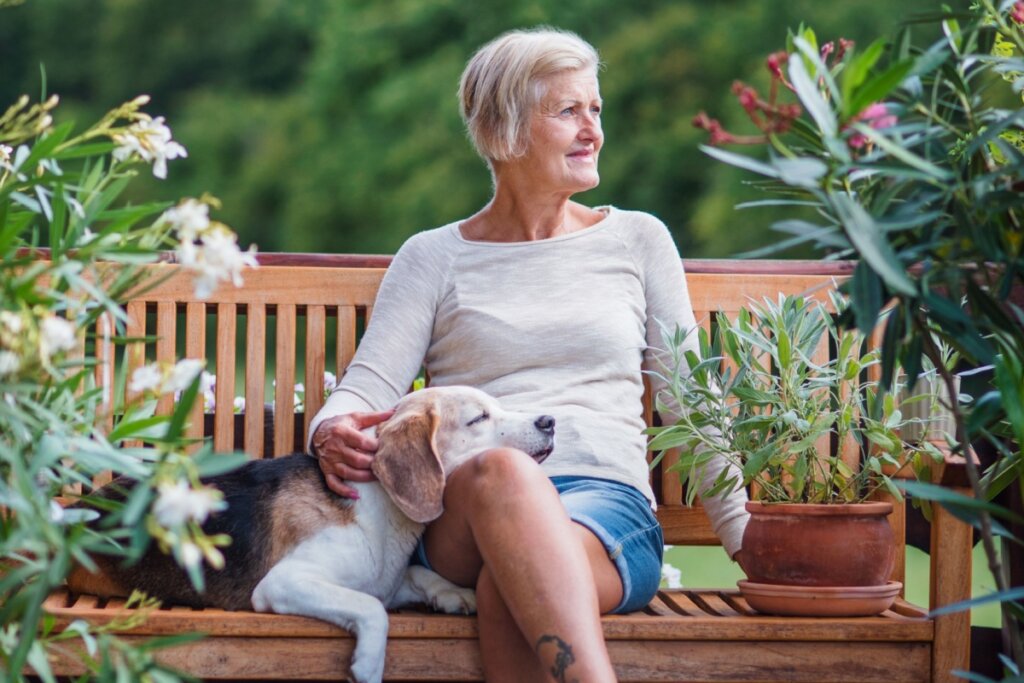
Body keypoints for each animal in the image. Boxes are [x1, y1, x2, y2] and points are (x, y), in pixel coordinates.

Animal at [68, 387, 557, 679]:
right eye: (478, 419)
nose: (549, 421)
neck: (379, 508)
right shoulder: (285, 584)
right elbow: (371, 610)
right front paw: (368, 664)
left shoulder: (383, 580)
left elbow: (416, 577)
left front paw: (453, 592)